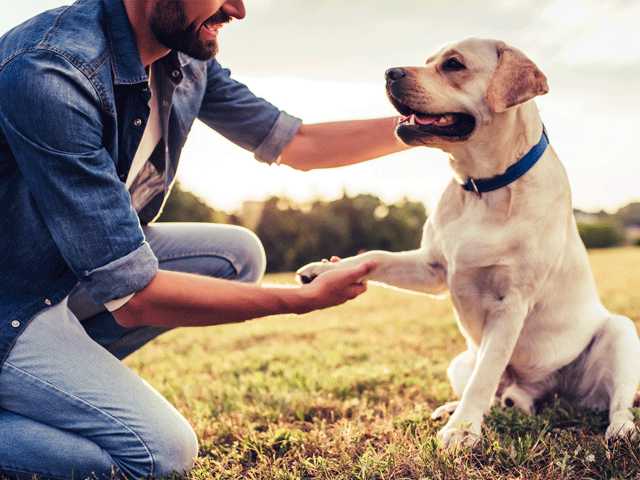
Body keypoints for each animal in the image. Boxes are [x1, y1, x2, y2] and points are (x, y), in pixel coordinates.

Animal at [298, 38, 640, 450]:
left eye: (453, 65)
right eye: (428, 61)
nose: (389, 72)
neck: (482, 189)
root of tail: (541, 394)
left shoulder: (511, 304)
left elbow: (485, 376)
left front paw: (462, 431)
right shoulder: (432, 268)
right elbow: (377, 256)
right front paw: (325, 270)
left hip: (621, 332)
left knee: (617, 401)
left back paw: (619, 429)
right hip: (459, 361)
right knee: (498, 394)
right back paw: (459, 406)